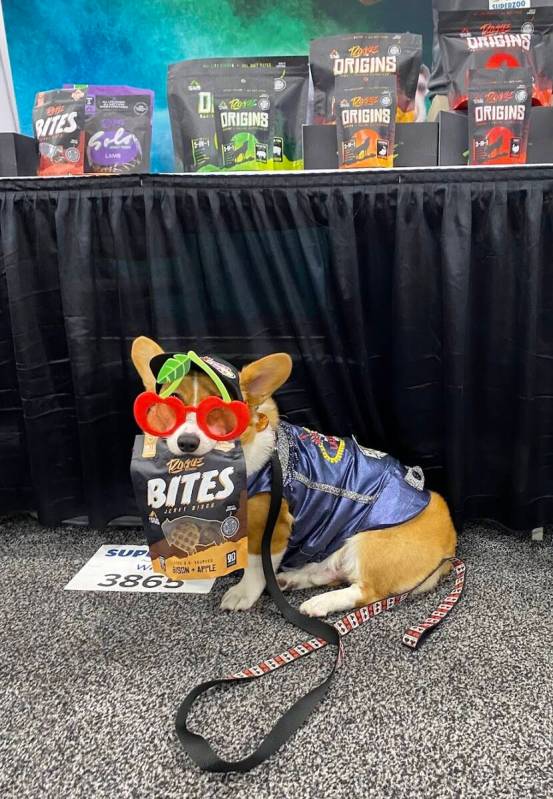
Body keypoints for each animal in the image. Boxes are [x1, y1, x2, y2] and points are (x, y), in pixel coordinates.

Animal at [132, 338, 454, 620]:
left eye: (218, 410)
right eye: (172, 402)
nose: (187, 442)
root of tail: (449, 544)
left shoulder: (269, 529)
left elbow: (255, 565)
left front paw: (243, 593)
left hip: (370, 542)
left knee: (365, 591)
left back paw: (319, 603)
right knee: (332, 570)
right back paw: (293, 580)